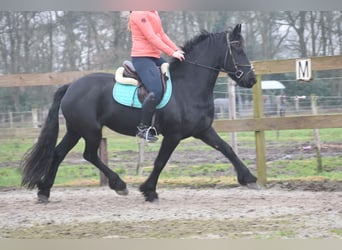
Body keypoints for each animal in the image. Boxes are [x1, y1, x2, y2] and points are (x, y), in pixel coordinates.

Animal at [21, 24, 256, 202]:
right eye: (237, 48)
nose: (251, 79)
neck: (188, 86)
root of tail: (71, 86)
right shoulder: (173, 135)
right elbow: (160, 161)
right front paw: (149, 191)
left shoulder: (203, 130)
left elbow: (226, 149)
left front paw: (249, 178)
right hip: (90, 130)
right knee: (89, 154)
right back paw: (119, 185)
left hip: (76, 130)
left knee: (59, 153)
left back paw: (44, 191)